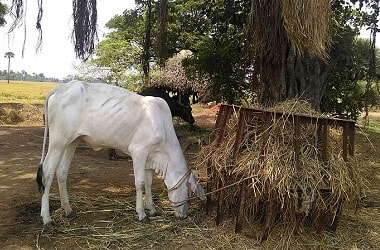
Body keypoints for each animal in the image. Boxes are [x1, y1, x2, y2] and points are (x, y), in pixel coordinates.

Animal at [37, 80, 205, 227]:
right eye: (189, 192)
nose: (184, 216)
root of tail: (61, 87)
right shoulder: (138, 152)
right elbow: (140, 183)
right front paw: (142, 214)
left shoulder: (149, 158)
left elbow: (149, 183)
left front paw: (152, 209)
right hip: (58, 140)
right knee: (48, 171)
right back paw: (47, 218)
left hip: (72, 141)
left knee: (62, 172)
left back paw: (68, 210)